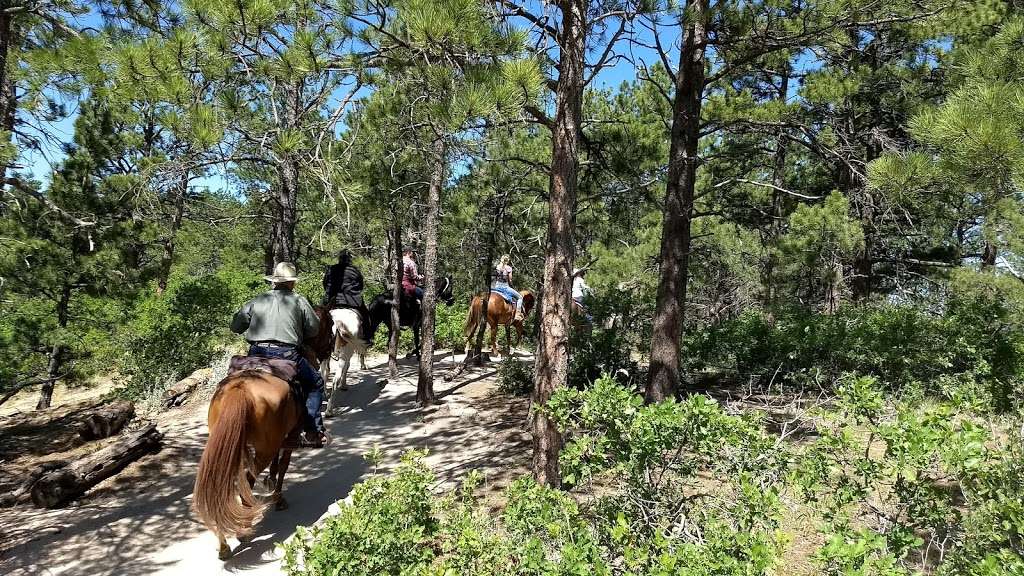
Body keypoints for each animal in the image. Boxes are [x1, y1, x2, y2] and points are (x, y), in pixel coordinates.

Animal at [191, 368, 299, 557]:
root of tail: (240, 388)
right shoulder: (291, 434)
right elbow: (284, 465)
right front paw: (278, 498)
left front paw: (271, 481)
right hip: (264, 450)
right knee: (248, 482)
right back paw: (244, 532)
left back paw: (224, 547)